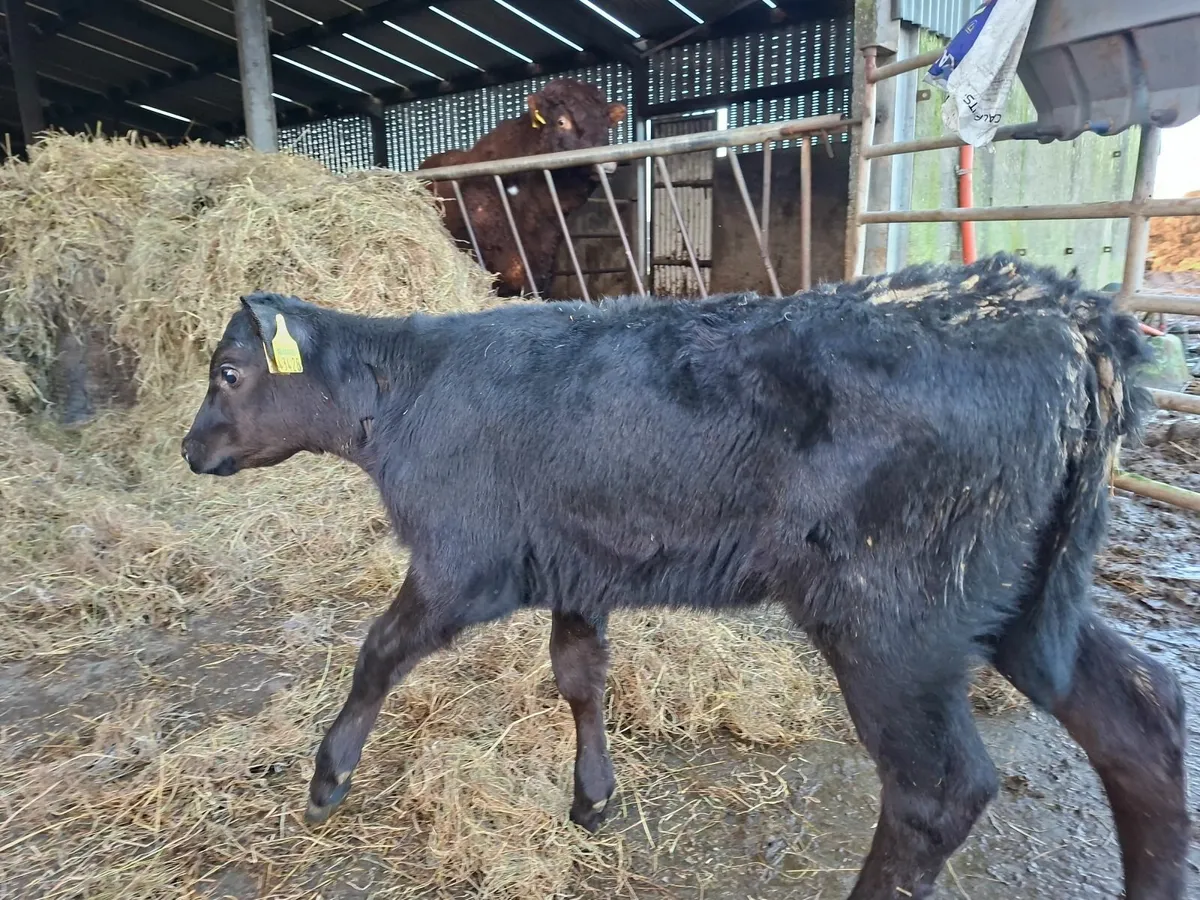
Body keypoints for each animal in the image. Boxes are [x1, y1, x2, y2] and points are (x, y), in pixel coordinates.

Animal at [180, 254, 1188, 900]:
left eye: (227, 371)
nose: (189, 450)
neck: (406, 392)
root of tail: (1062, 310)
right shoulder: (577, 561)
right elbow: (579, 676)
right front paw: (591, 797)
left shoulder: (461, 561)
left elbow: (379, 653)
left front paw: (328, 775)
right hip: (1015, 599)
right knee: (1142, 710)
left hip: (893, 617)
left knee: (937, 790)